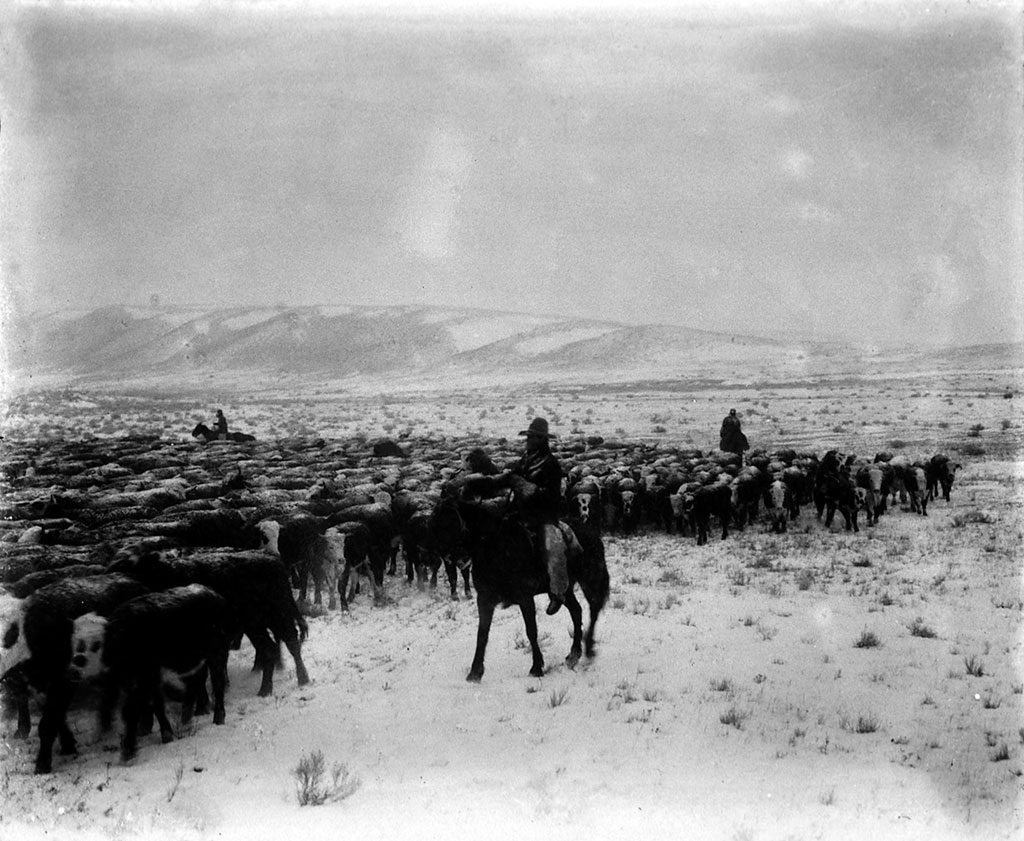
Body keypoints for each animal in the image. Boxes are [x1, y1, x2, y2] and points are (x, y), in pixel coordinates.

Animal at [430, 485, 606, 684]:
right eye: (434, 523)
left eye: (449, 522)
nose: (447, 557)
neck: (496, 549)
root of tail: (591, 532)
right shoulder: (485, 599)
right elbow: (482, 634)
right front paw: (475, 673)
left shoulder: (525, 598)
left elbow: (531, 631)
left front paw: (536, 667)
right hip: (565, 589)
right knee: (576, 611)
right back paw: (573, 654)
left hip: (590, 580)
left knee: (593, 609)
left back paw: (589, 649)